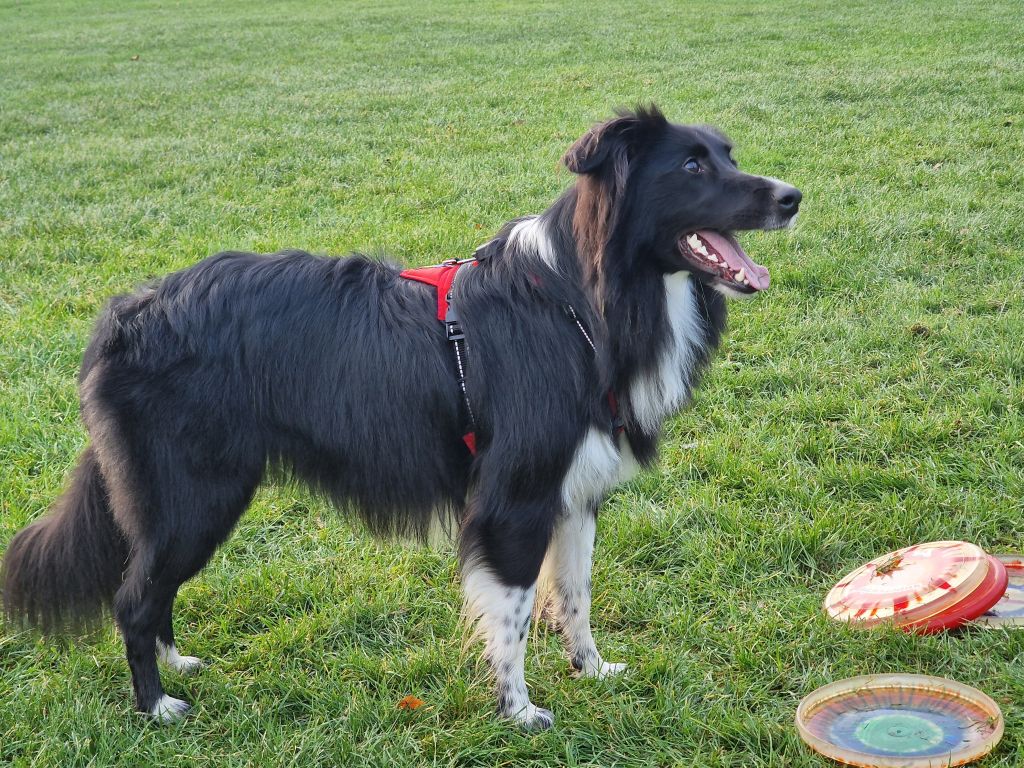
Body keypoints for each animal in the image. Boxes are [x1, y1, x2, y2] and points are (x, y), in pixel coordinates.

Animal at [1, 105, 800, 729]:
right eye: (693, 166)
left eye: (729, 156)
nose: (793, 196)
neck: (584, 304)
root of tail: (123, 316)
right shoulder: (514, 504)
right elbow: (511, 615)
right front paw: (519, 712)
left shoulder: (574, 496)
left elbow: (574, 598)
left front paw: (591, 671)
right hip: (193, 496)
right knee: (134, 596)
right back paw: (156, 705)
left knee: (152, 588)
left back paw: (178, 665)